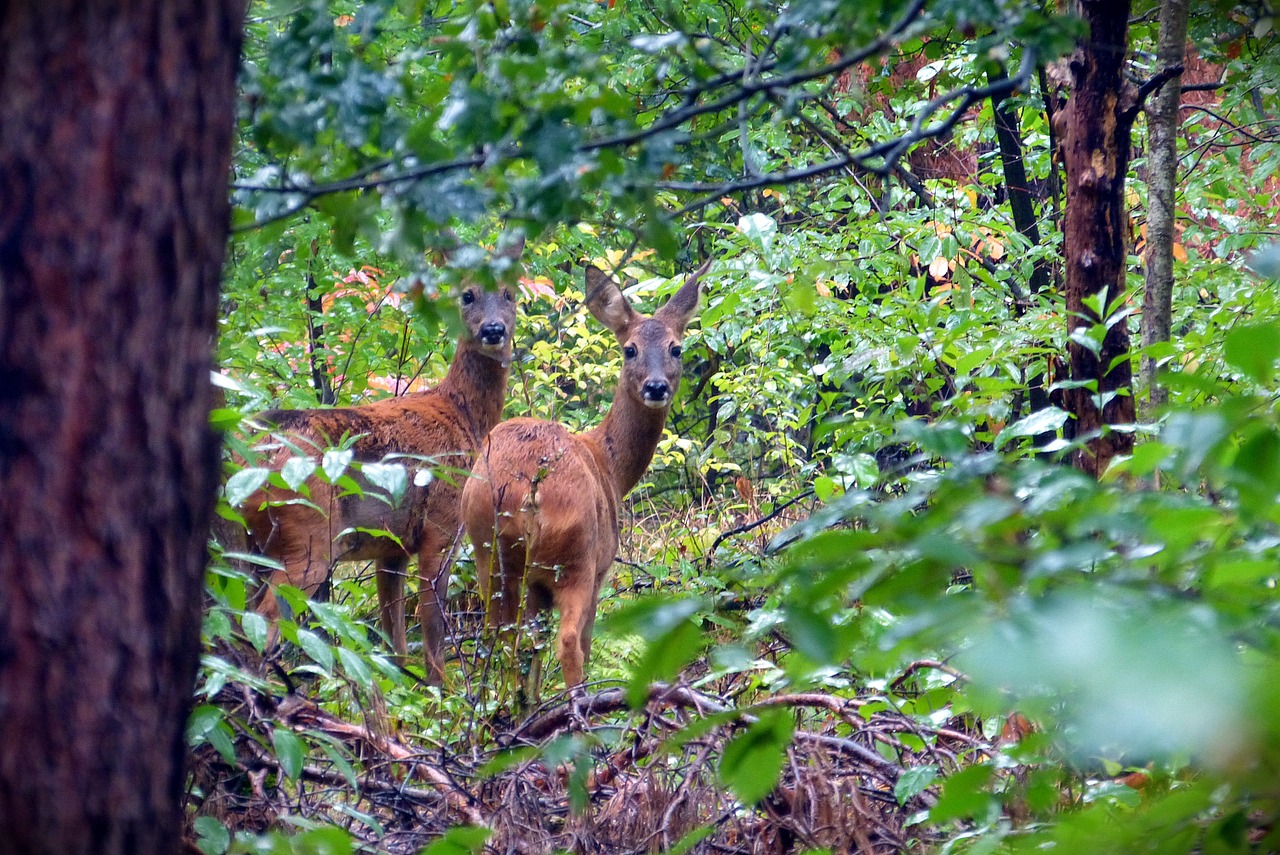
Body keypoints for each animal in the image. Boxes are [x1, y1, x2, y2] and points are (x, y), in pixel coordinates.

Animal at [238, 239, 522, 680]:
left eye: (510, 293)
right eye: (467, 294)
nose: (493, 330)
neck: (464, 416)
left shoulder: (393, 548)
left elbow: (394, 642)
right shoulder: (441, 526)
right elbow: (431, 627)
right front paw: (441, 692)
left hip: (252, 545)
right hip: (308, 537)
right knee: (264, 621)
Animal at [460, 257, 711, 691]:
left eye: (676, 348)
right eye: (630, 349)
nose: (656, 387)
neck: (610, 466)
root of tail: (528, 491)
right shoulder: (601, 567)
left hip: (488, 550)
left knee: (502, 639)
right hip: (575, 558)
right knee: (570, 643)